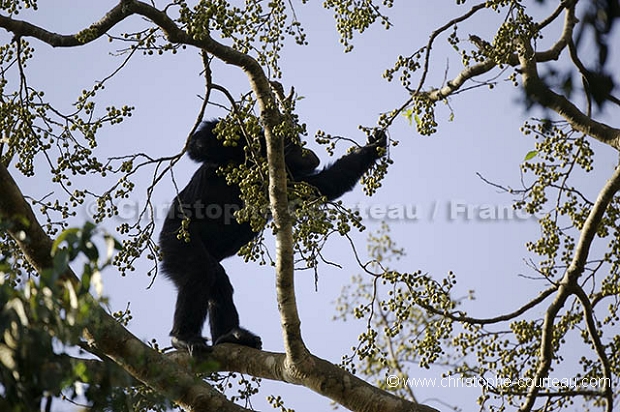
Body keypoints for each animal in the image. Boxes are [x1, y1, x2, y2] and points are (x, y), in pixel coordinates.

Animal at [157, 120, 386, 354]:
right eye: (297, 143)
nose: (307, 149)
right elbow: (202, 141)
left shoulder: (292, 182)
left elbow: (325, 184)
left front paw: (373, 147)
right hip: (177, 241)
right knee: (198, 273)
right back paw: (183, 337)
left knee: (218, 282)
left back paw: (230, 336)